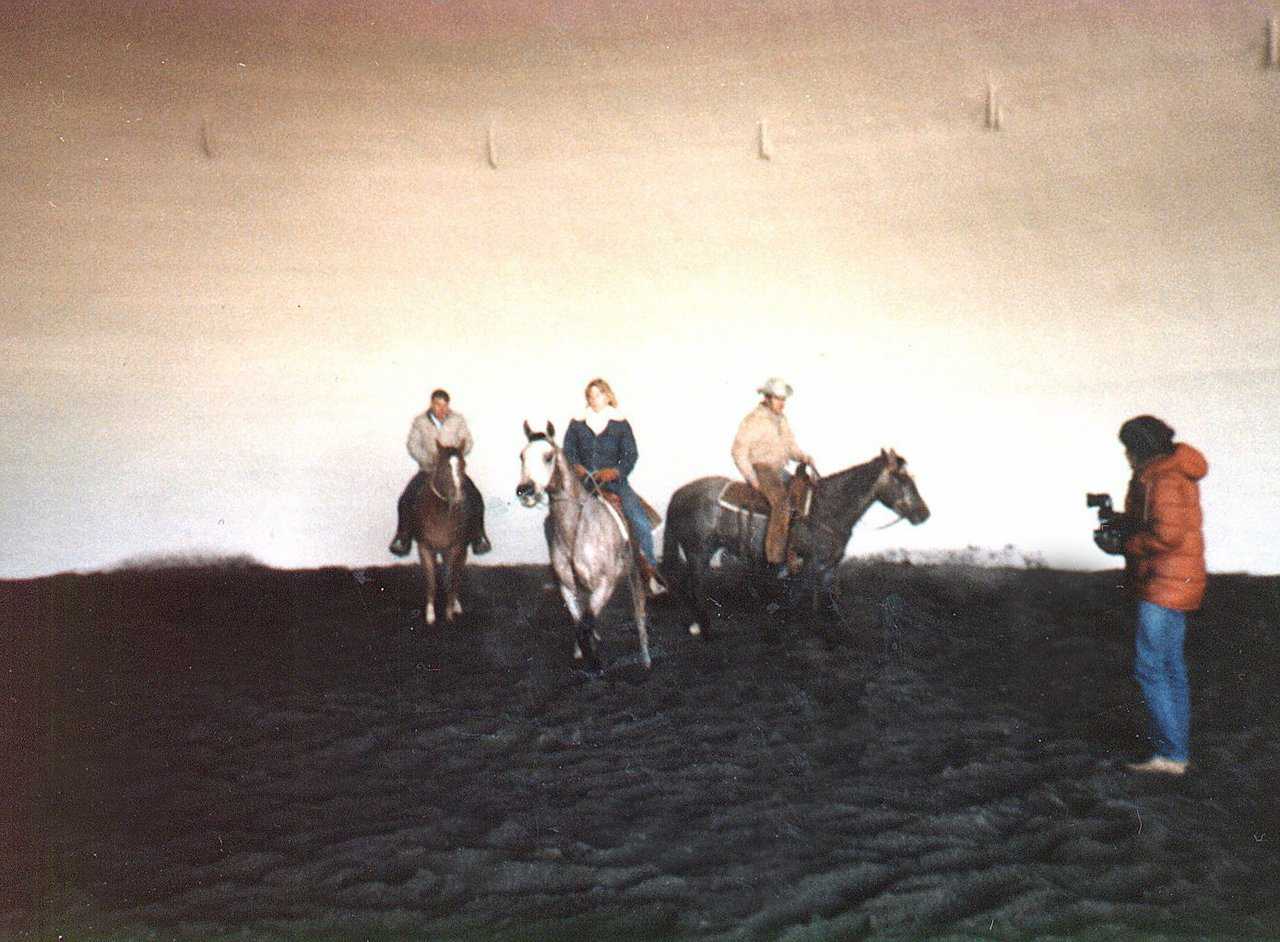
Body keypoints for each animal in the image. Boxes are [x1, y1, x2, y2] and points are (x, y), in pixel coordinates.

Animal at [409, 447, 476, 624]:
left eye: (464, 465)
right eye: (443, 466)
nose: (459, 499)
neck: (441, 515)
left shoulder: (455, 548)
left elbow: (451, 580)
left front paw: (449, 614)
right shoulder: (424, 548)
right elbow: (431, 582)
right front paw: (430, 615)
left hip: (460, 552)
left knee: (455, 577)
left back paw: (456, 605)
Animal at [517, 422, 655, 675]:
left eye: (548, 456)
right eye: (522, 455)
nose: (525, 490)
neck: (577, 531)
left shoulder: (605, 584)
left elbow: (587, 624)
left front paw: (597, 663)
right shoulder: (568, 587)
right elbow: (580, 623)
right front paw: (587, 655)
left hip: (635, 573)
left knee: (639, 612)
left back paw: (646, 659)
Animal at [660, 447, 931, 637]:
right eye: (900, 478)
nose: (923, 514)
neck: (825, 510)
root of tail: (679, 494)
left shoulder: (829, 566)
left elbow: (829, 602)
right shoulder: (810, 563)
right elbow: (797, 595)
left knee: (685, 583)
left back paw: (695, 623)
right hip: (699, 551)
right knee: (695, 585)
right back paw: (704, 626)